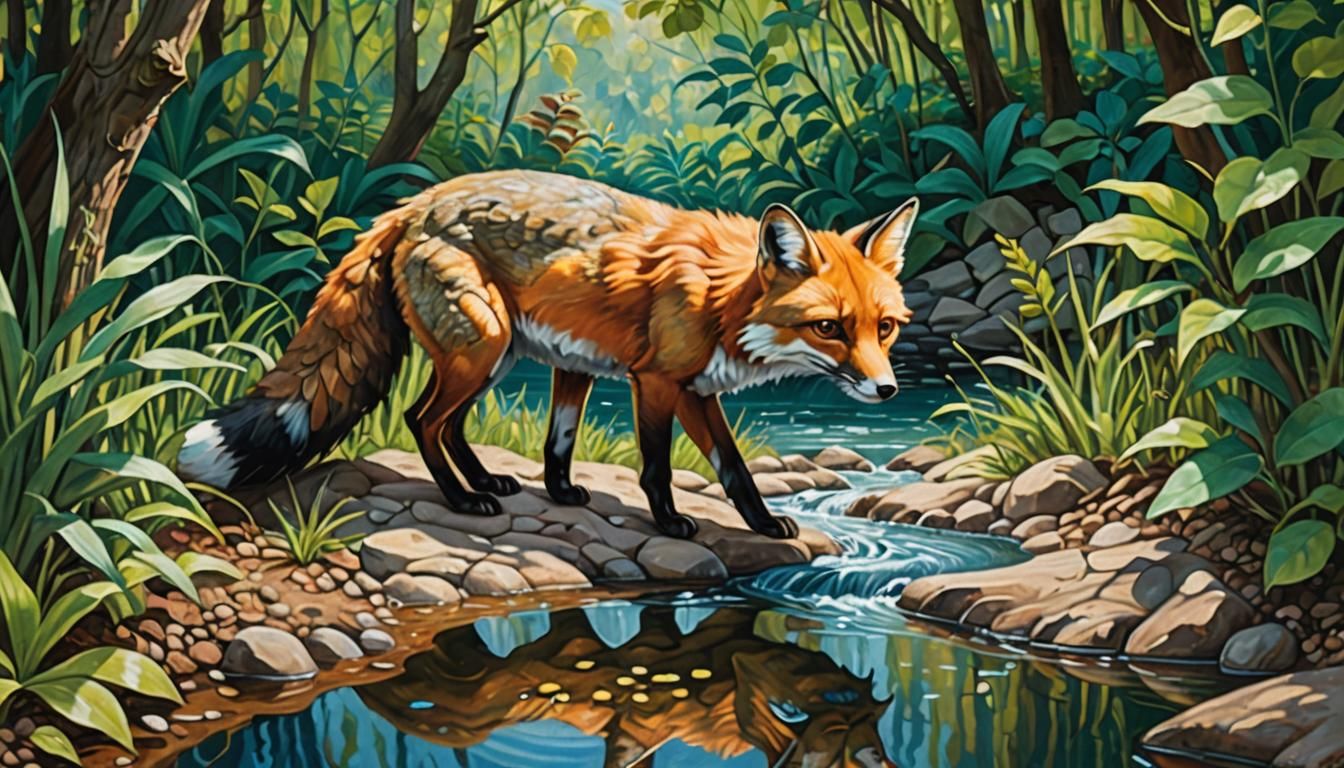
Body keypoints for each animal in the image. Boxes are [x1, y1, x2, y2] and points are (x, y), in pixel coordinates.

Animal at [177, 169, 916, 540]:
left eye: (884, 329)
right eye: (829, 328)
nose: (886, 392)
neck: (720, 295)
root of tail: (410, 206)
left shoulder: (633, 377)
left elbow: (725, 469)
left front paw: (762, 525)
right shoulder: (657, 382)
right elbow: (657, 467)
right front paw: (671, 522)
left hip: (496, 355)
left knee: (449, 425)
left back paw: (486, 483)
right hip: (482, 347)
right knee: (422, 419)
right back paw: (462, 499)